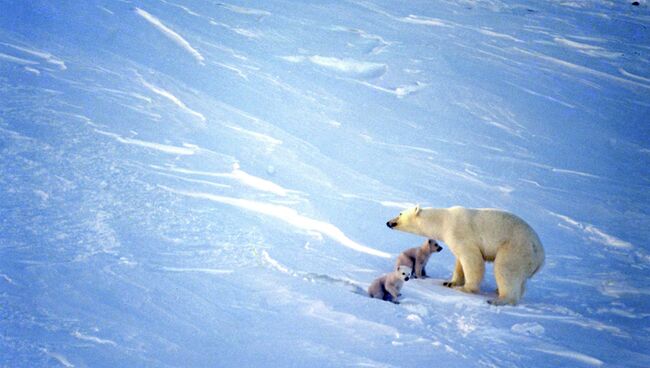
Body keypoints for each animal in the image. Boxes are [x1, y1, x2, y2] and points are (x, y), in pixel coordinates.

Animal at [384, 206, 540, 306]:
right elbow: (459, 262)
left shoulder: (459, 233)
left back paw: (499, 300)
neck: (443, 220)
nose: (388, 222)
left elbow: (471, 259)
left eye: (400, 213)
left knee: (505, 269)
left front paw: (465, 288)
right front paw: (450, 282)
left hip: (515, 248)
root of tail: (541, 257)